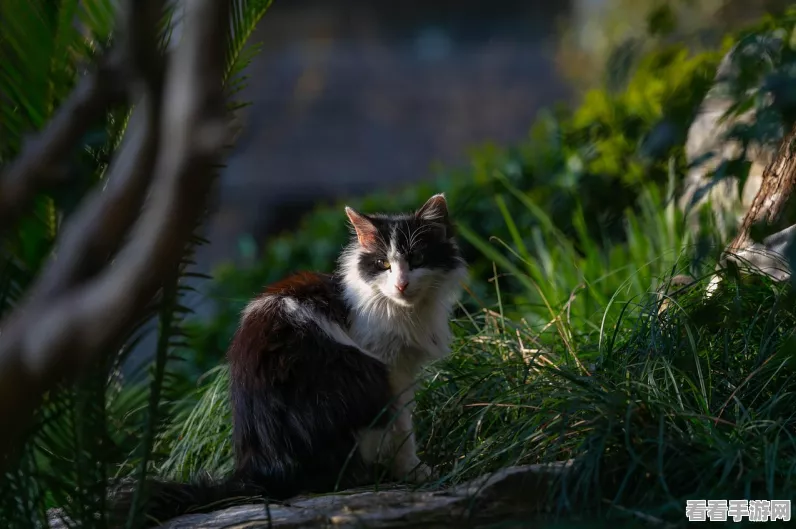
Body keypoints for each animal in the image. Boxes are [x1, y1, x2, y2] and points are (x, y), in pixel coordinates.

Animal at [112, 193, 466, 524]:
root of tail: (261, 469)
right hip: (359, 375)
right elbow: (404, 430)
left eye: (416, 259)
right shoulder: (390, 368)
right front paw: (416, 472)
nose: (401, 283)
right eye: (383, 264)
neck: (402, 311)